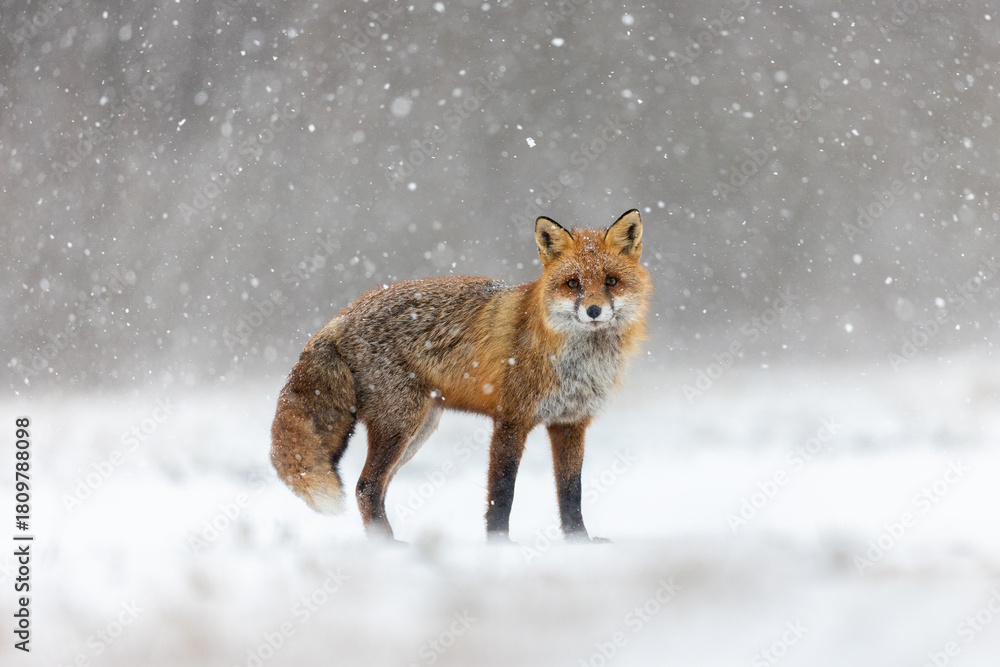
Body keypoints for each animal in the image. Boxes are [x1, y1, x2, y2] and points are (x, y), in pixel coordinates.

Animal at [270, 209, 652, 540]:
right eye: (573, 283)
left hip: (418, 431)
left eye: (611, 281)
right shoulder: (511, 420)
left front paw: (578, 542)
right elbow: (503, 492)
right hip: (400, 425)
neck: (576, 361)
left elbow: (571, 494)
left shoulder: (570, 423)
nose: (593, 310)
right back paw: (388, 547)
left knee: (375, 488)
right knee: (366, 486)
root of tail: (343, 315)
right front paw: (499, 544)